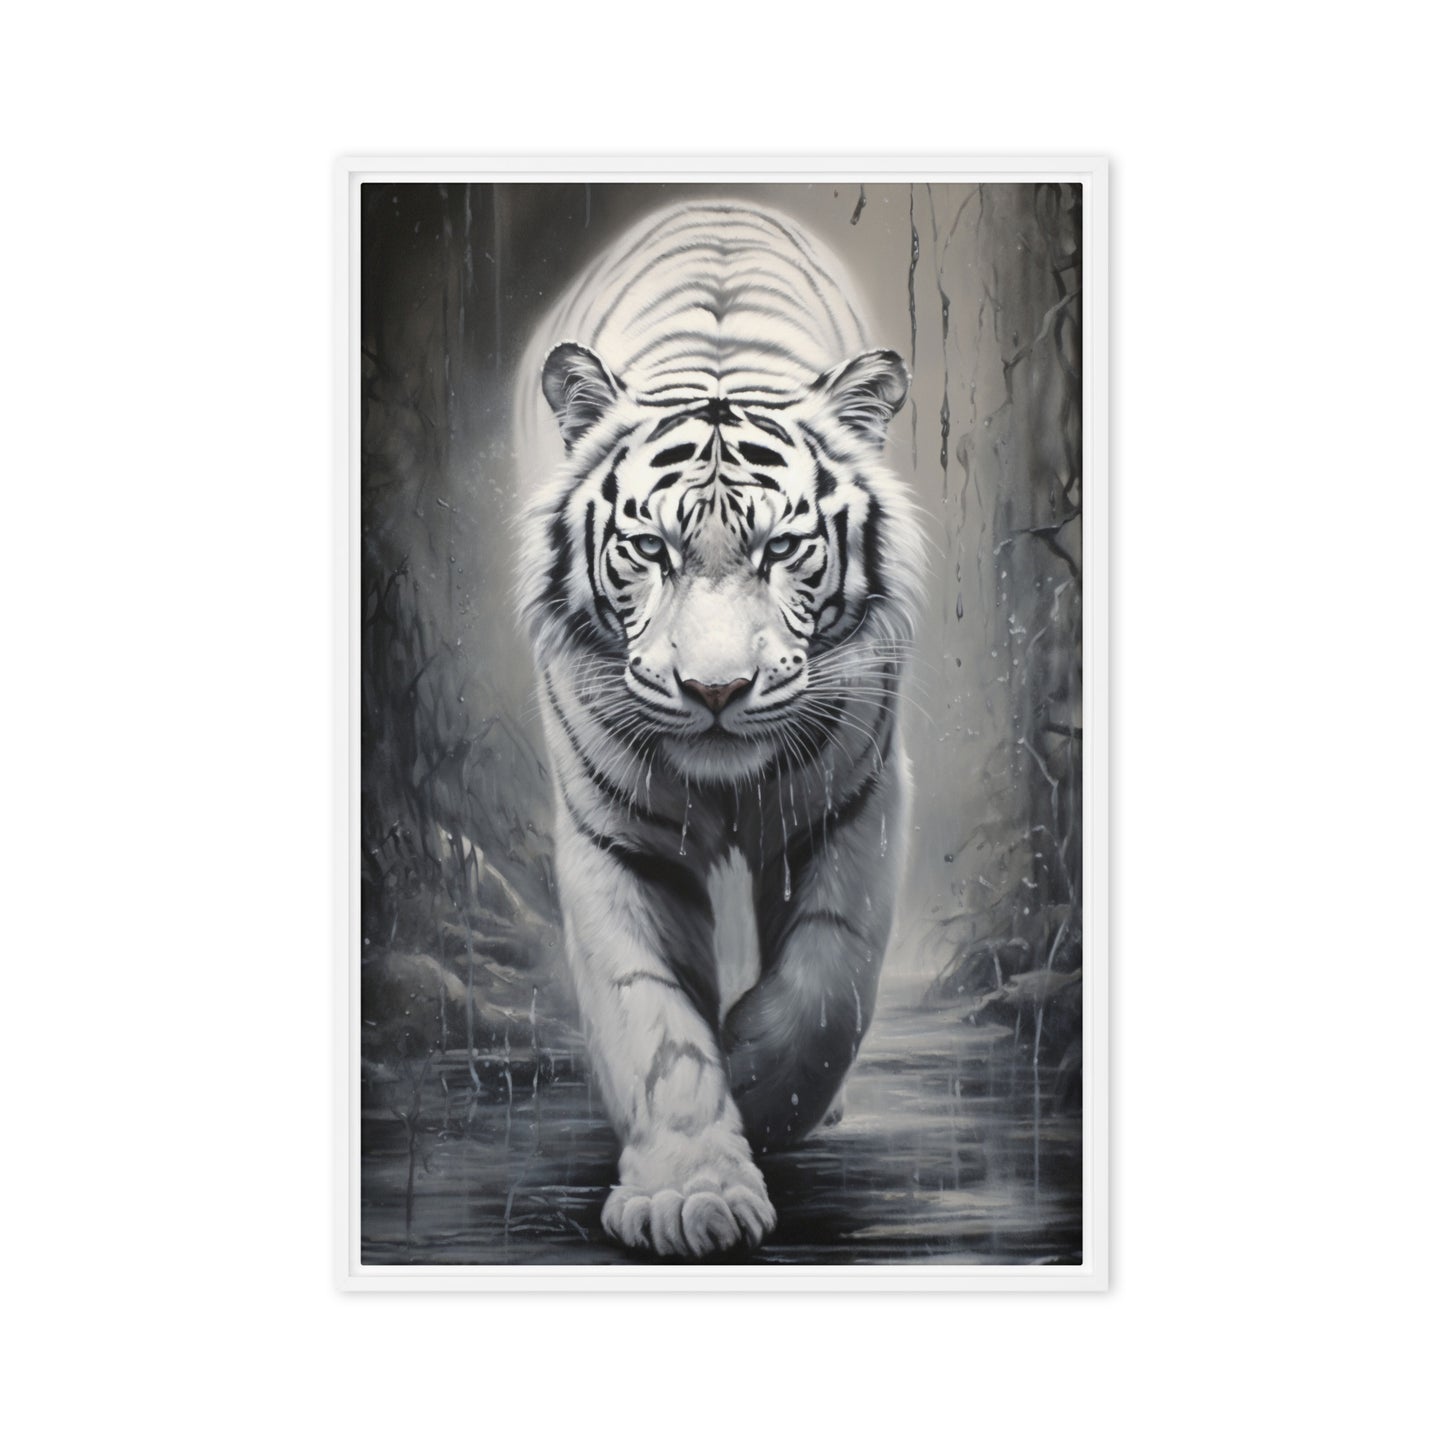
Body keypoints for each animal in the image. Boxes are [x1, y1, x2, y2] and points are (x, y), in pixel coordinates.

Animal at [514, 200, 924, 1258]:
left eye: (780, 548)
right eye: (648, 549)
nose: (713, 689)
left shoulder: (856, 800)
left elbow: (824, 988)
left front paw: (752, 1084)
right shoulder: (617, 836)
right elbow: (652, 1018)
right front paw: (689, 1188)